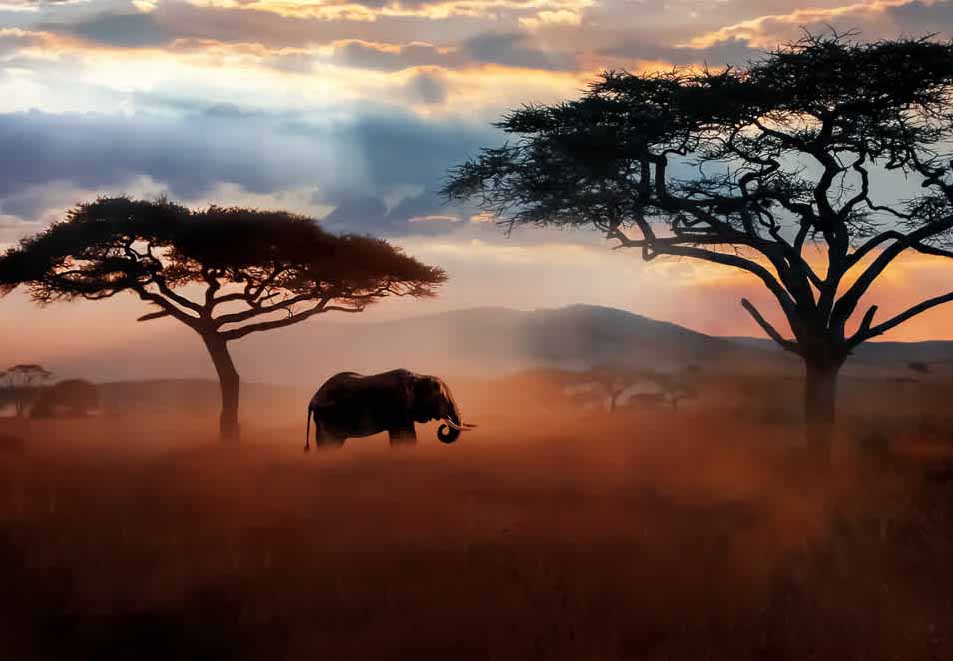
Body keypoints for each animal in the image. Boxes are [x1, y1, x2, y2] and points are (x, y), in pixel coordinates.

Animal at [305, 369, 476, 451]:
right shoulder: (399, 407)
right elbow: (405, 438)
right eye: (441, 398)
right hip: (328, 418)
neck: (419, 376)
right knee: (329, 444)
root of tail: (312, 400)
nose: (443, 426)